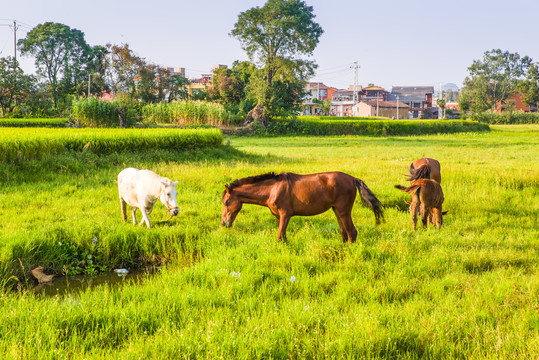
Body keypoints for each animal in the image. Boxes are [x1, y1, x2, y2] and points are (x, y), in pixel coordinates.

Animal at [220, 170, 384, 243]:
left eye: (226, 202)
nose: (224, 223)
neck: (273, 188)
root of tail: (353, 179)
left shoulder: (285, 214)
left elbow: (279, 237)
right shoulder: (278, 216)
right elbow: (283, 236)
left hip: (344, 211)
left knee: (352, 232)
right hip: (337, 211)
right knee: (344, 233)